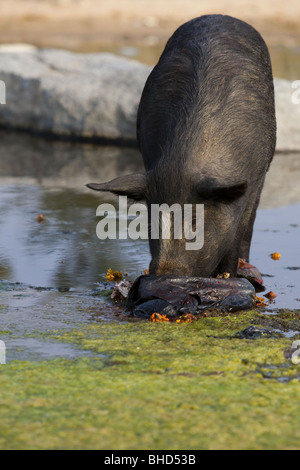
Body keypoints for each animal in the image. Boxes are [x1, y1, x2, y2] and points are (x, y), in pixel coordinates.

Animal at [86, 14, 274, 280]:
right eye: (153, 220)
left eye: (194, 220)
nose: (164, 273)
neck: (187, 160)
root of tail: (218, 15)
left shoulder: (252, 183)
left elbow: (237, 235)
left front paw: (228, 277)